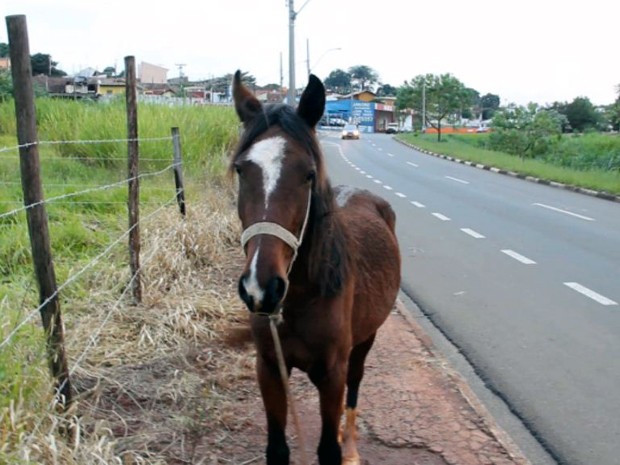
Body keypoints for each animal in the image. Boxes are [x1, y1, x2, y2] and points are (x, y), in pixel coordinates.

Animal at [230, 70, 400, 462]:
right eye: (241, 169)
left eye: (308, 174)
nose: (261, 288)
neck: (301, 298)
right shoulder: (269, 369)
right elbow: (277, 450)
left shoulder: (332, 375)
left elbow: (327, 450)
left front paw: (340, 446)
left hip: (366, 341)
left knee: (355, 385)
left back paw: (350, 444)